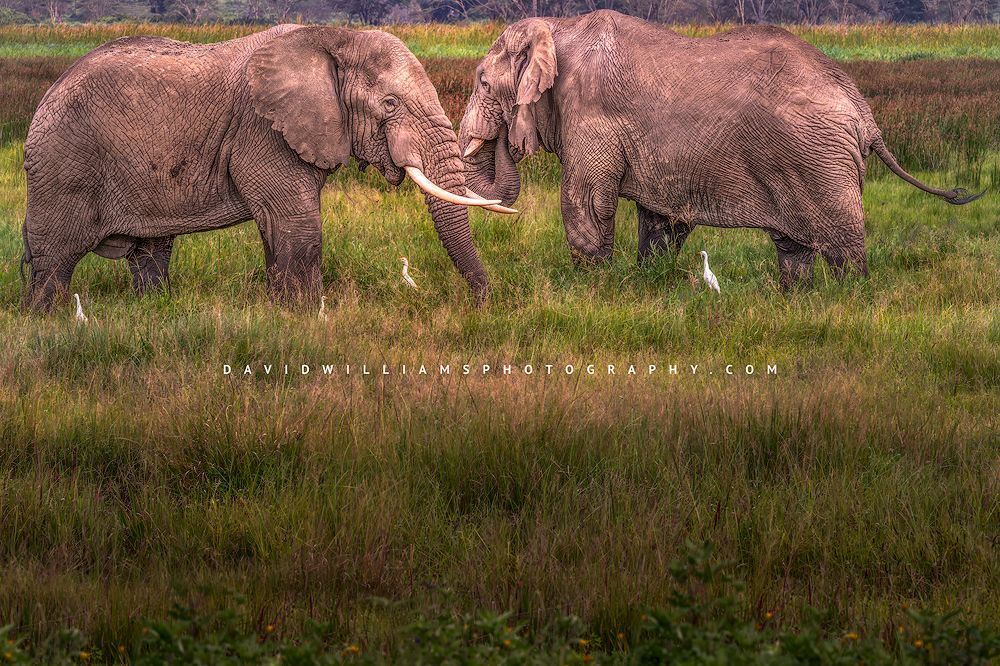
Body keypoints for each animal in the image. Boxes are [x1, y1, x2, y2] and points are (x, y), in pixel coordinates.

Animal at [20, 24, 512, 311]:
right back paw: (47, 320)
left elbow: (281, 227)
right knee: (54, 260)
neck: (332, 38)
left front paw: (285, 313)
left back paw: (152, 312)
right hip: (63, 166)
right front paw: (308, 317)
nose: (483, 305)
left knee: (151, 254)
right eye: (389, 105)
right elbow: (298, 224)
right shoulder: (263, 130)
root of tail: (44, 97)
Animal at [458, 10, 982, 288]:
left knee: (841, 245)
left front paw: (592, 289)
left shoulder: (591, 113)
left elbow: (584, 203)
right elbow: (661, 220)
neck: (556, 27)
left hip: (821, 162)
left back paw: (850, 299)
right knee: (793, 245)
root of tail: (865, 115)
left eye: (482, 82)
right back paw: (797, 299)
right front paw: (645, 285)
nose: (504, 138)